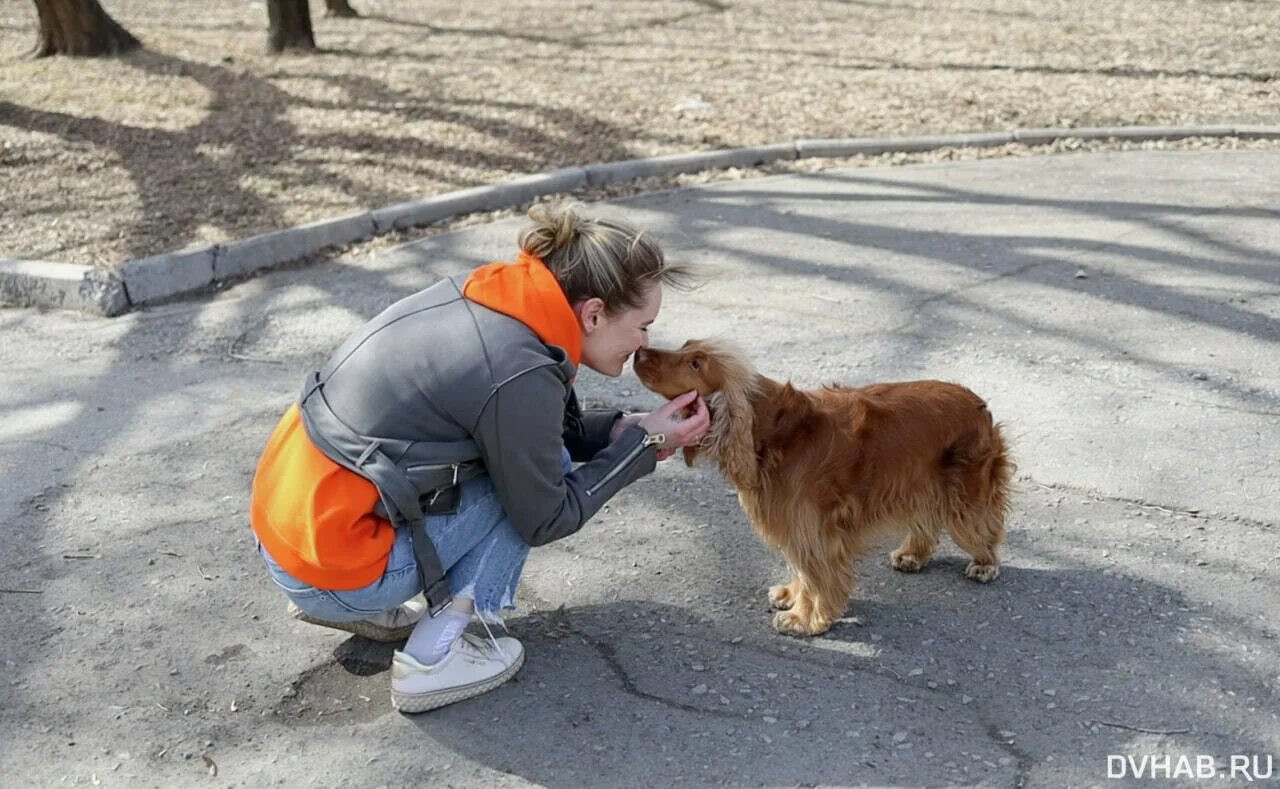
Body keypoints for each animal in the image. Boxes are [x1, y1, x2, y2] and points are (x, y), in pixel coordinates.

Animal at [634, 338, 1013, 635]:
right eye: (684, 346)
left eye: (696, 363)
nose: (639, 351)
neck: (771, 432)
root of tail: (979, 403)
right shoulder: (798, 525)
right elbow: (802, 569)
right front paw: (792, 596)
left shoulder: (814, 527)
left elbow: (816, 575)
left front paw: (803, 618)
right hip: (919, 484)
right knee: (927, 522)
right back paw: (912, 555)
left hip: (965, 492)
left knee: (984, 526)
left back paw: (985, 563)